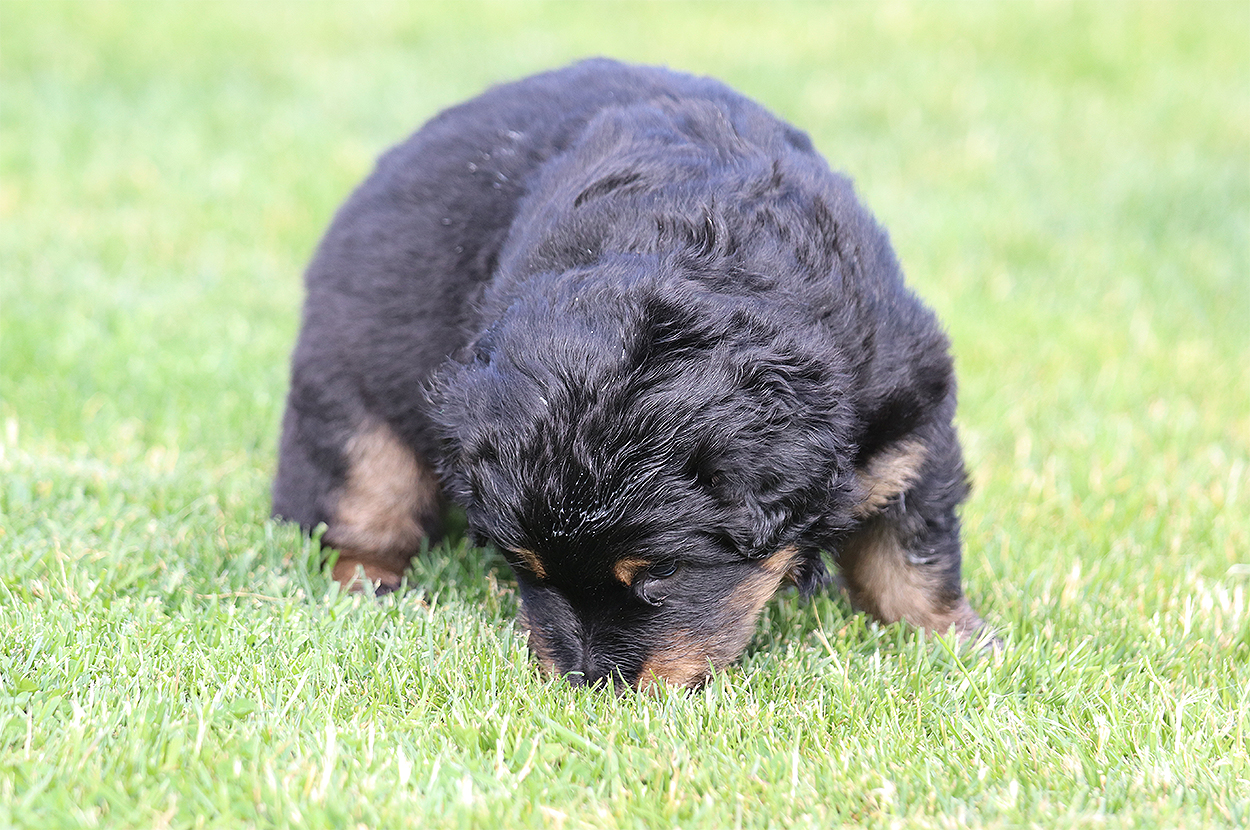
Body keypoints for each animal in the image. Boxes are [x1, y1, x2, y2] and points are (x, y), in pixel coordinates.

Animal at [273, 59, 993, 690]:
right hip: (355, 401)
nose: (594, 683)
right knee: (357, 505)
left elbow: (913, 555)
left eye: (663, 572)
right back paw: (371, 588)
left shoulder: (906, 429)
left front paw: (953, 641)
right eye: (524, 566)